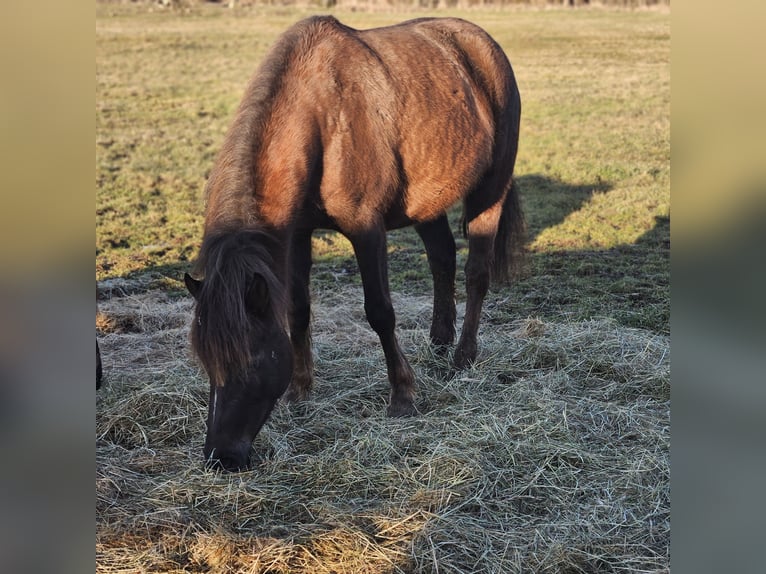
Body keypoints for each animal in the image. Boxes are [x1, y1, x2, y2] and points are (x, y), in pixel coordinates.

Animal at [183, 15, 524, 472]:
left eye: (252, 360)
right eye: (206, 363)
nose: (221, 457)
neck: (322, 119)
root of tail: (481, 43)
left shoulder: (367, 230)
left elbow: (379, 312)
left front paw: (402, 396)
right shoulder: (299, 233)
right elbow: (297, 310)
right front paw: (300, 392)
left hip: (491, 190)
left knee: (476, 274)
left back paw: (462, 357)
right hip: (427, 201)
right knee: (442, 258)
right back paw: (438, 344)